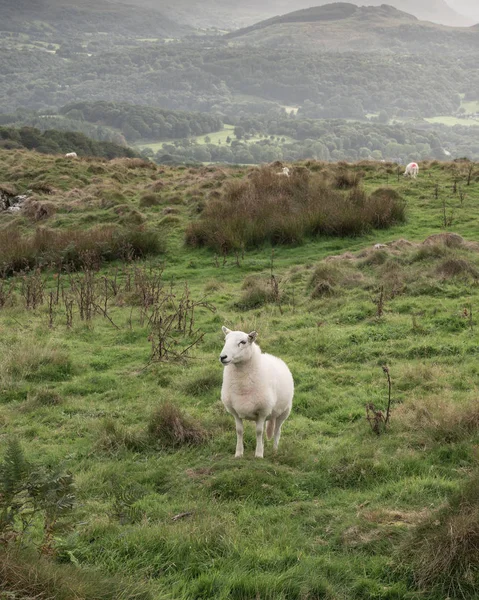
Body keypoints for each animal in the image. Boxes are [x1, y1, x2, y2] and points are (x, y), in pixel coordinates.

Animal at [220, 328, 294, 460]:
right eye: (225, 340)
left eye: (243, 342)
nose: (223, 357)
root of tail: (274, 357)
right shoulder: (235, 412)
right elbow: (239, 431)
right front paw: (239, 453)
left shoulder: (263, 411)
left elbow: (259, 432)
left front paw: (259, 454)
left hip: (284, 411)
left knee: (277, 431)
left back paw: (275, 451)